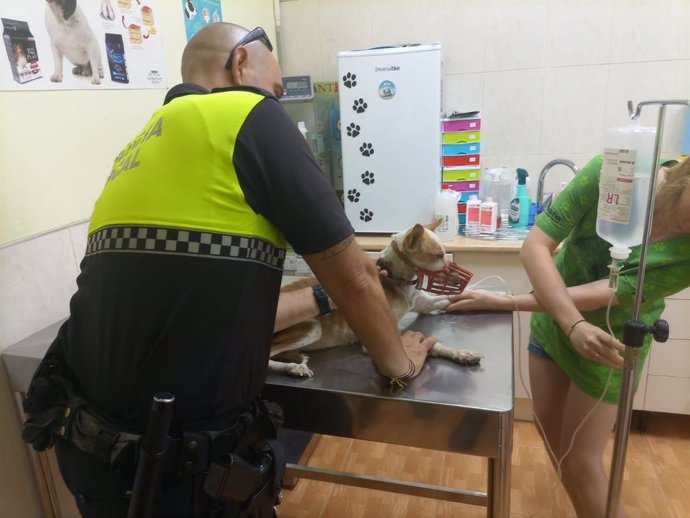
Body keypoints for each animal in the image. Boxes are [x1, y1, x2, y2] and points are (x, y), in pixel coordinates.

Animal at [266, 219, 482, 378]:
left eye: (445, 253)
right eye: (438, 256)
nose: (463, 277)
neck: (397, 279)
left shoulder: (426, 304)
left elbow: (450, 298)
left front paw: (479, 295)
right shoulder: (385, 332)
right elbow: (432, 344)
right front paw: (459, 353)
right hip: (312, 328)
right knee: (268, 355)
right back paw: (292, 368)